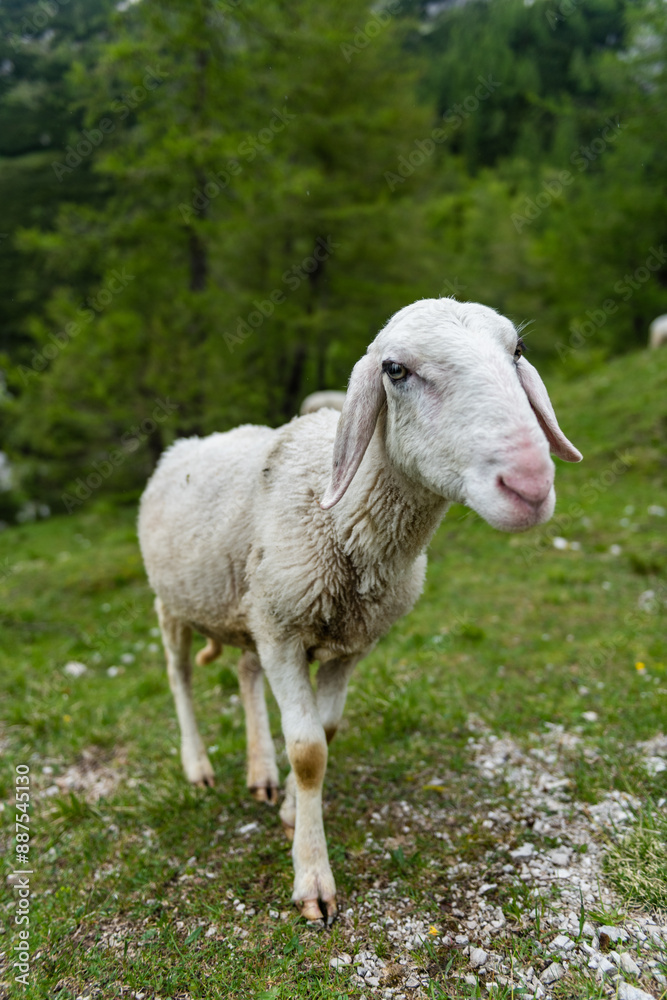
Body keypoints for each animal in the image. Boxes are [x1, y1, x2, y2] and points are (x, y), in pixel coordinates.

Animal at [138, 297, 582, 925]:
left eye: (516, 350)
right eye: (395, 370)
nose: (530, 483)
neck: (343, 521)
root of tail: (188, 444)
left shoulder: (348, 642)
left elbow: (325, 732)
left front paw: (293, 812)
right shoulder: (282, 631)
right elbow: (308, 751)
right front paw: (313, 880)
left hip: (248, 605)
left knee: (245, 675)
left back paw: (260, 772)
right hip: (174, 604)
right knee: (178, 677)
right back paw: (198, 766)